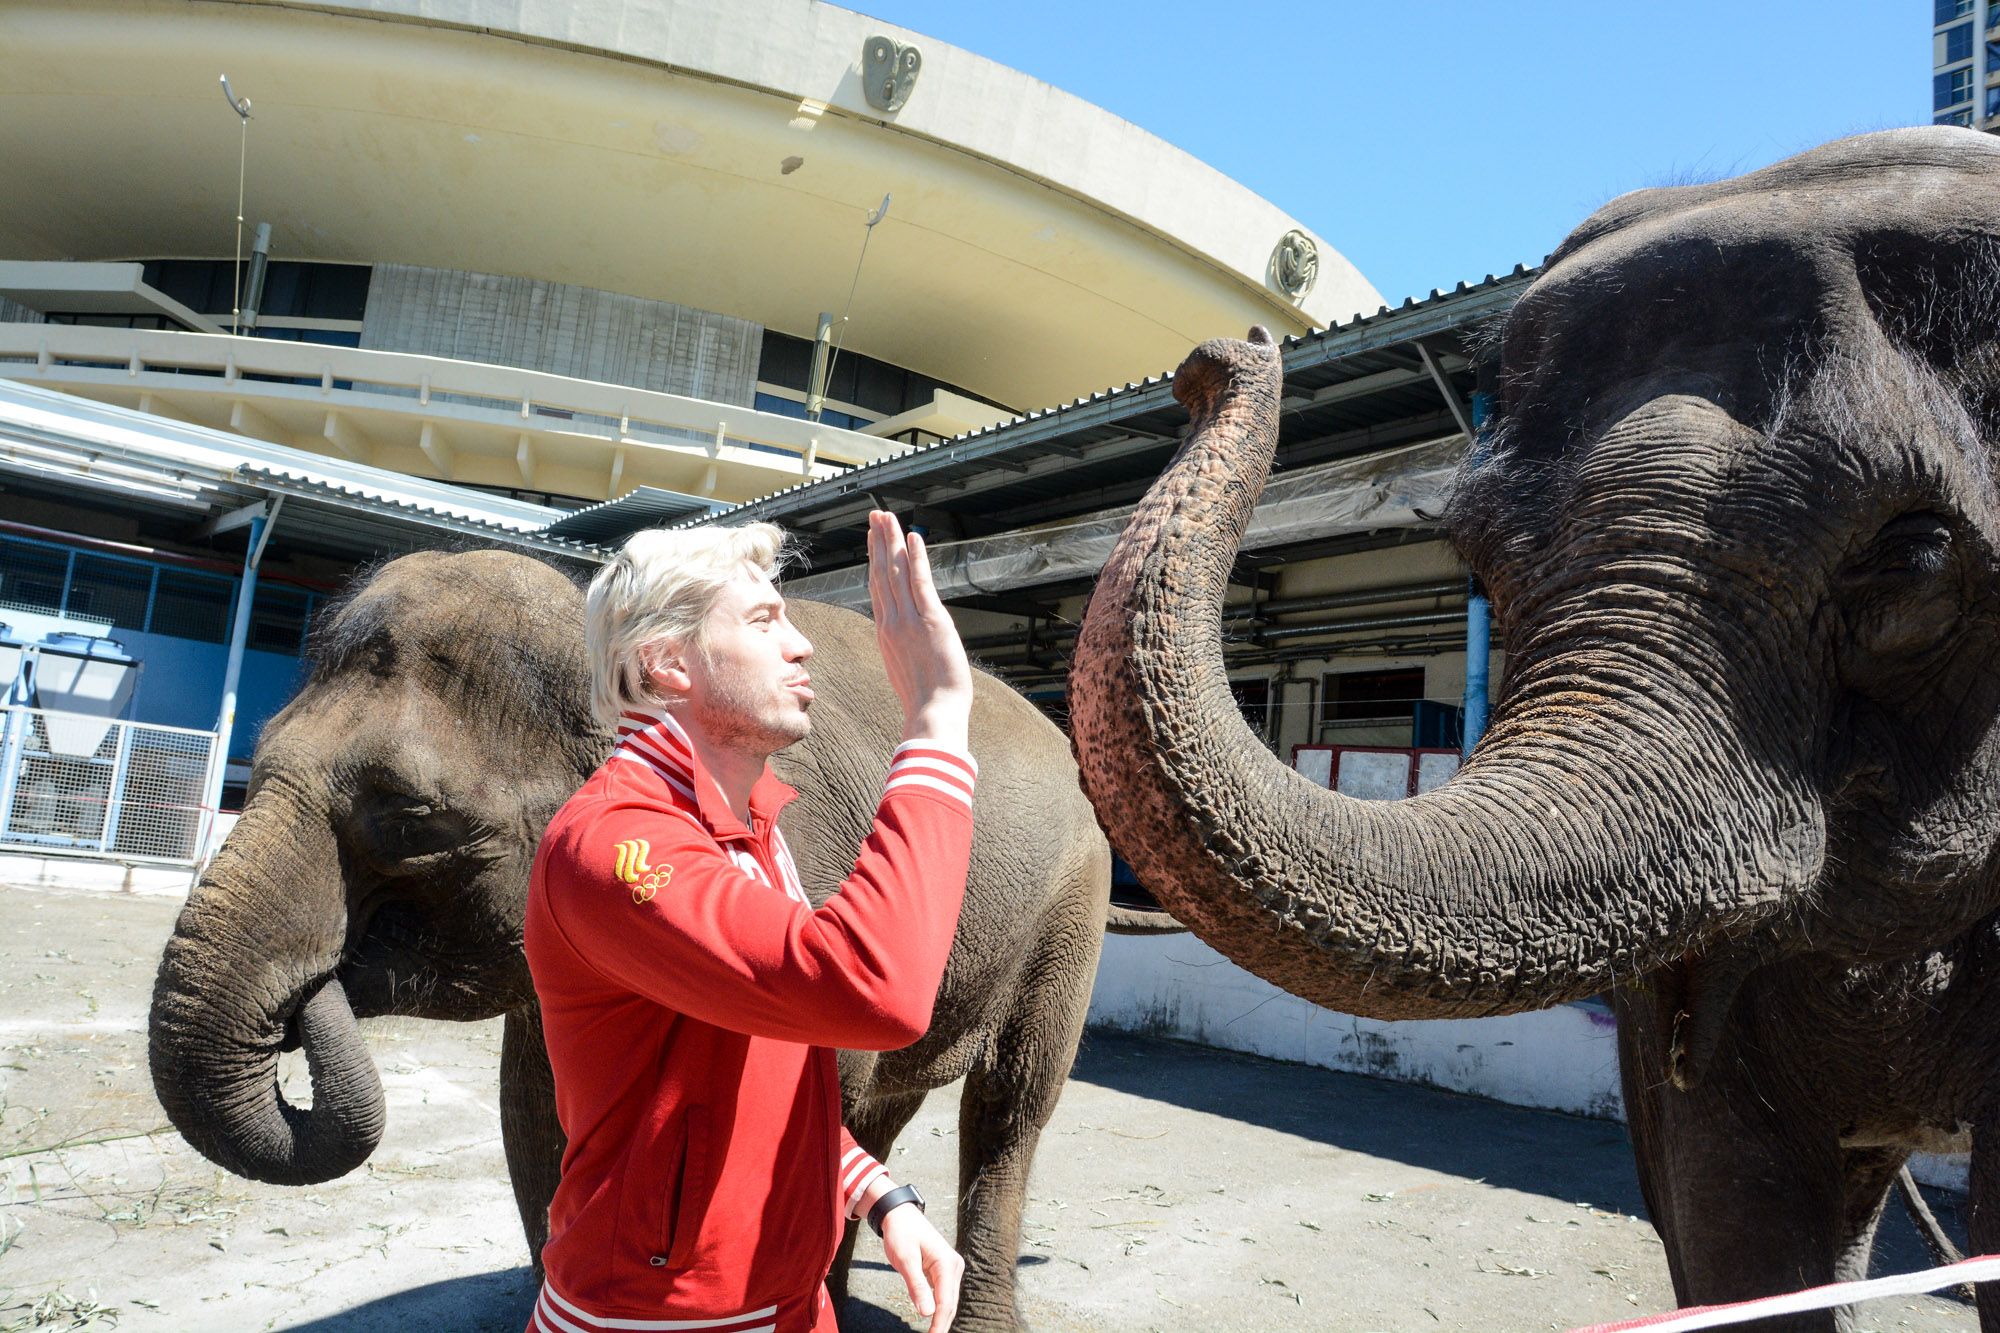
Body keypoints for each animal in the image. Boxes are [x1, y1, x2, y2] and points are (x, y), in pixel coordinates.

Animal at [148, 544, 1120, 1320]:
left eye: (412, 817)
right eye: (254, 762)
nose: (317, 987)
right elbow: (536, 1116)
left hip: (1074, 908)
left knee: (1009, 1105)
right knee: (886, 1105)